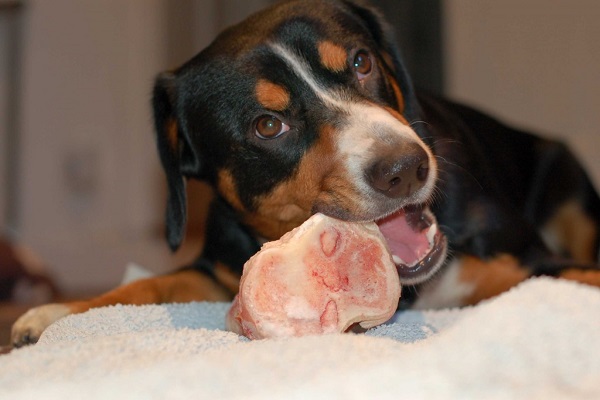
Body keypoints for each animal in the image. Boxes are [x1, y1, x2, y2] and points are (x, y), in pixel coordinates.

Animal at [10, 0, 600, 346]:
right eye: (268, 125)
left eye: (362, 62)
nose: (405, 168)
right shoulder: (215, 269)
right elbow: (150, 283)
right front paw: (55, 314)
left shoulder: (532, 264)